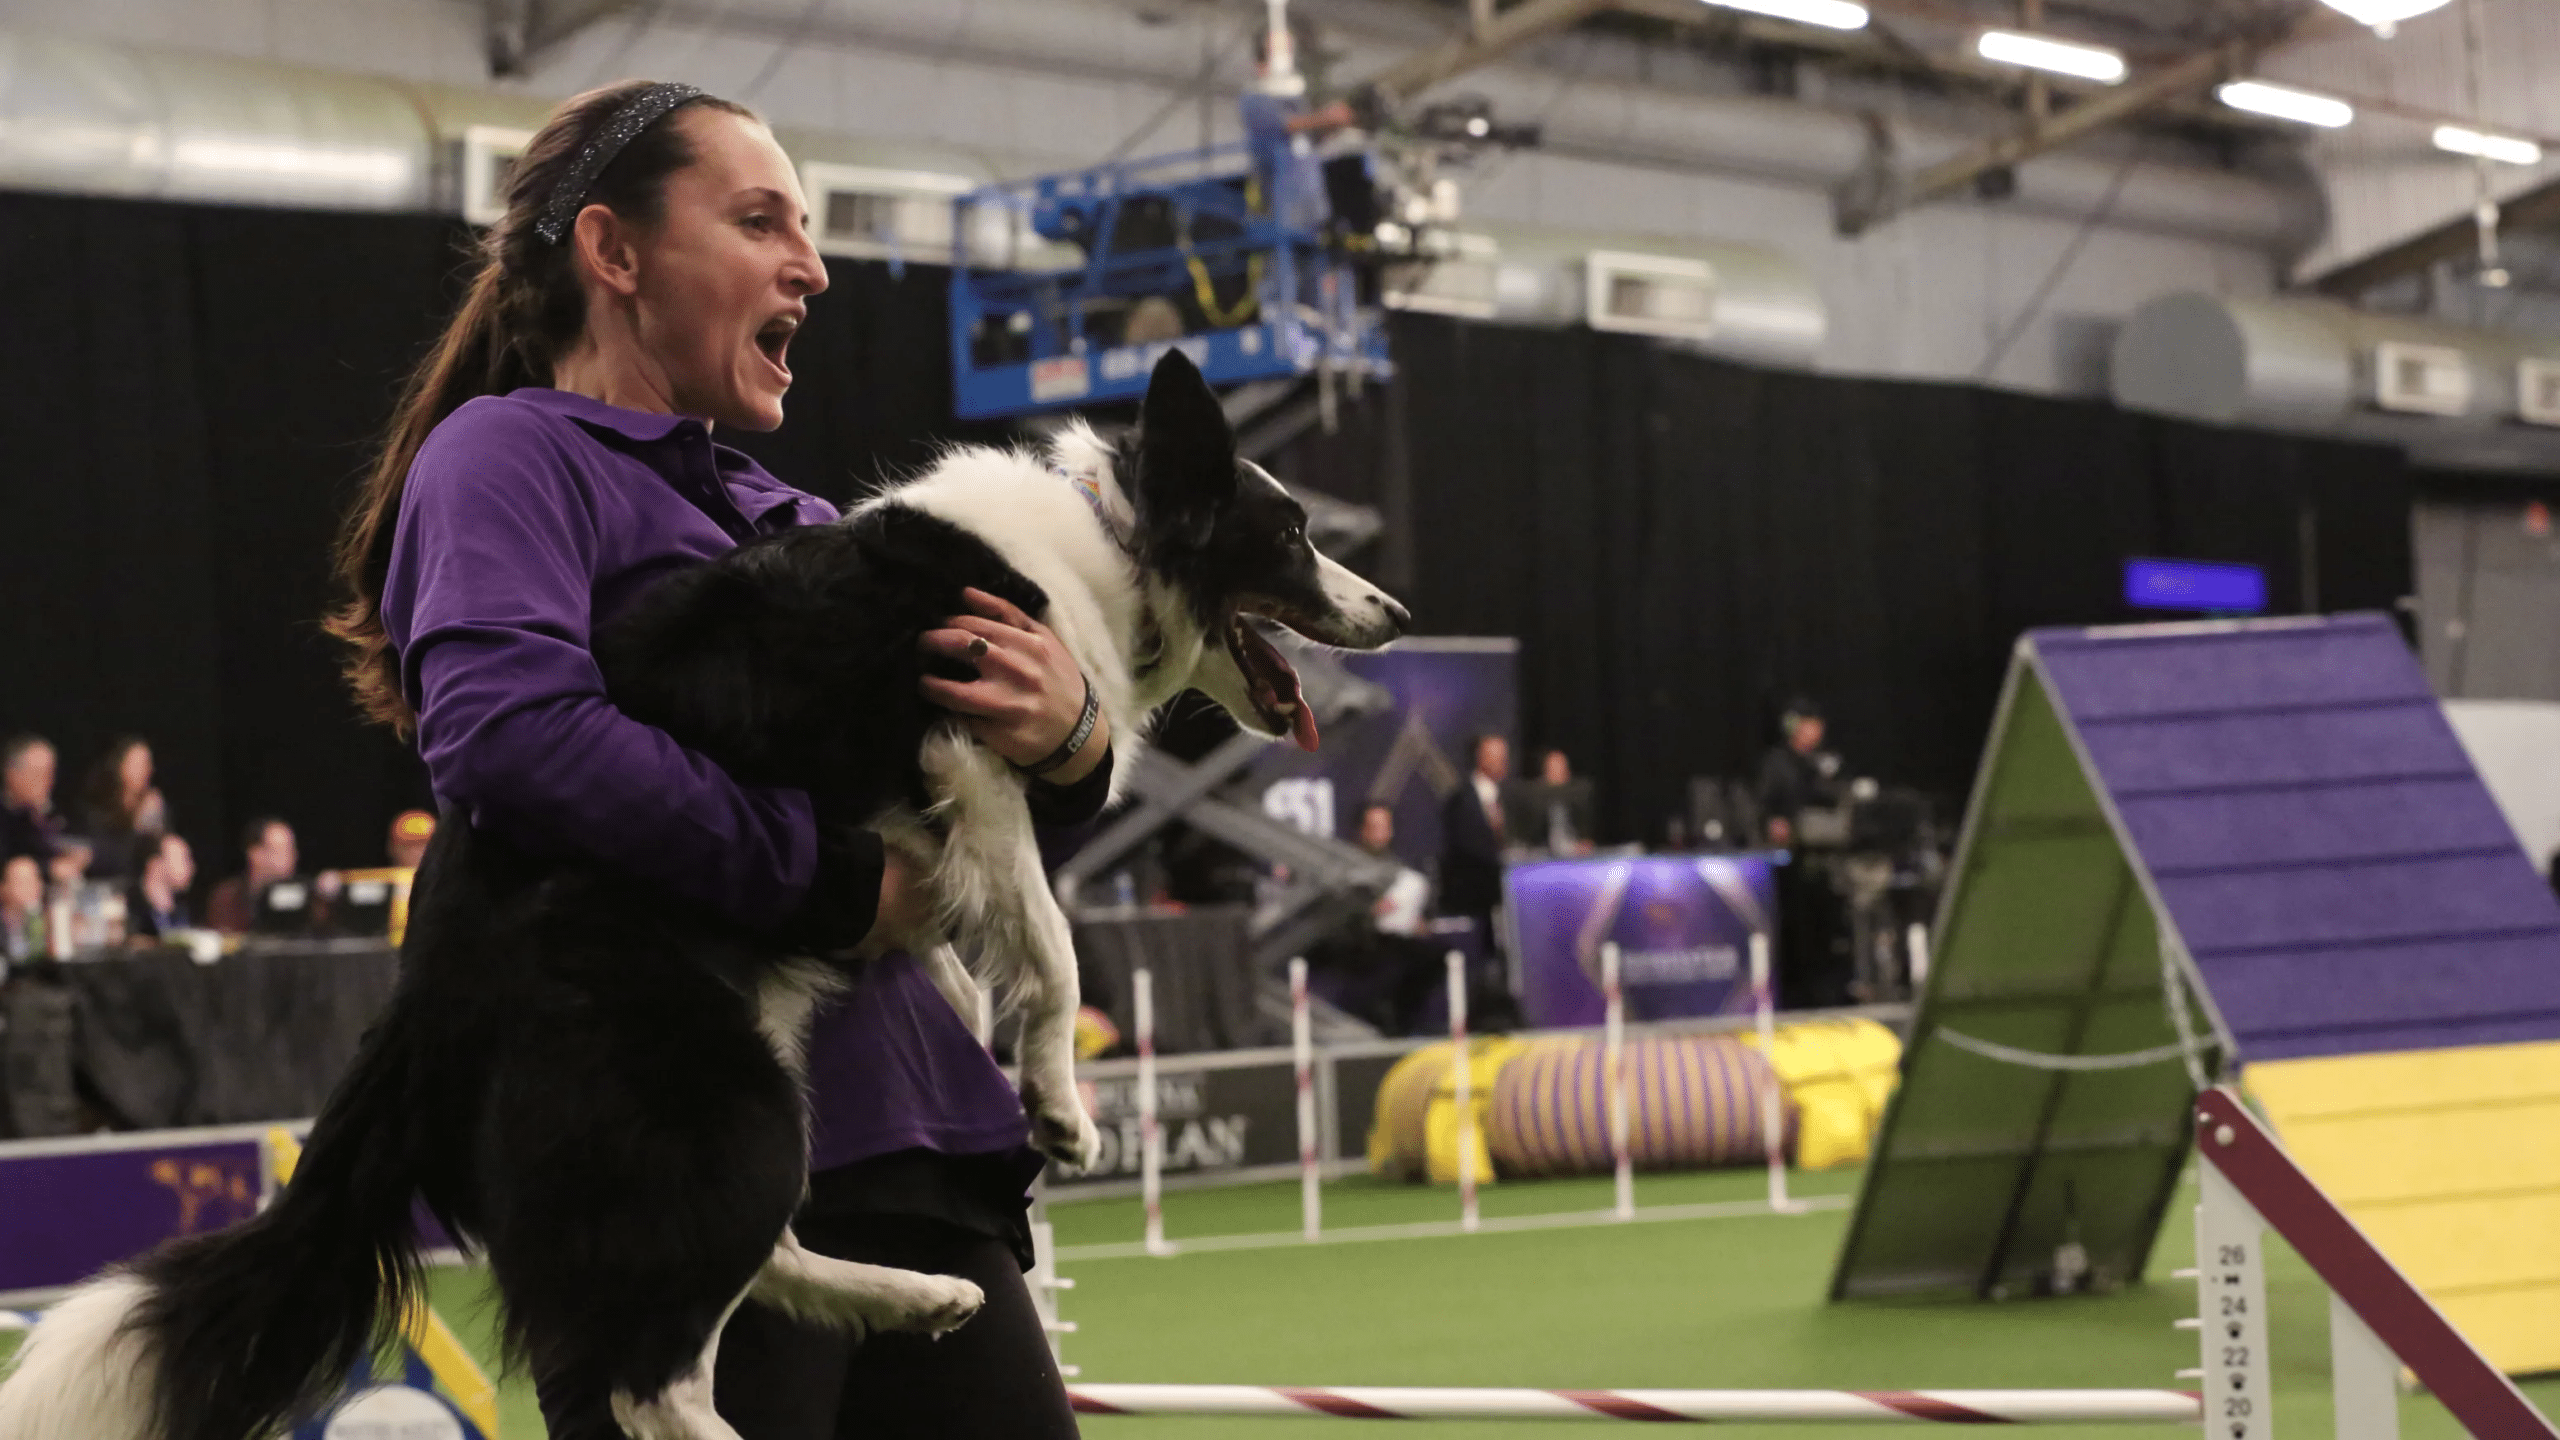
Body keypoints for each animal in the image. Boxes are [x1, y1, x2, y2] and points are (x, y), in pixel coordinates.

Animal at [0, 351, 1402, 1434]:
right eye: (1289, 535)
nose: (1392, 609)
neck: (1107, 540)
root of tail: (416, 1001)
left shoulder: (938, 814)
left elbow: (966, 953)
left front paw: (975, 1024)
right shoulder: (969, 743)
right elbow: (1052, 949)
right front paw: (1058, 1105)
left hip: (748, 1065)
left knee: (741, 1261)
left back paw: (914, 1295)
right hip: (710, 1094)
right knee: (651, 1375)